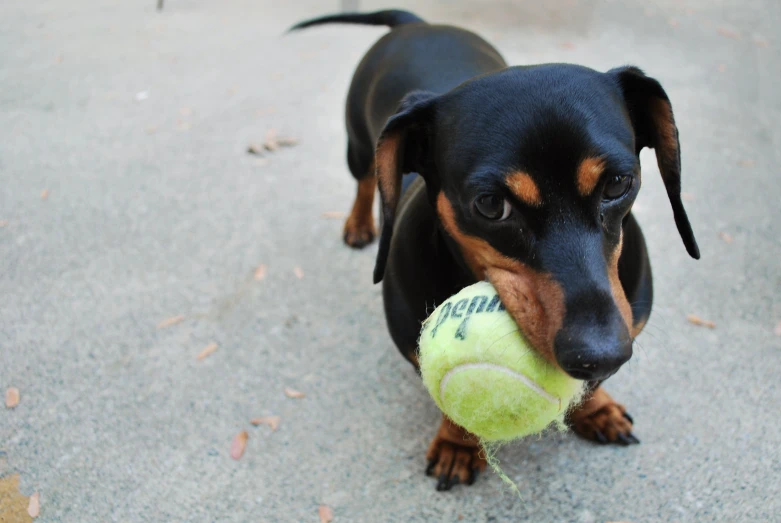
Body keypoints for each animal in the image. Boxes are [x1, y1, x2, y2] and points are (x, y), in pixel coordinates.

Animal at [290, 9, 696, 492]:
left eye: (618, 183)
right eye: (490, 205)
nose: (600, 353)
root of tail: (414, 23)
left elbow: (590, 390)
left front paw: (597, 410)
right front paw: (457, 444)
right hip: (357, 146)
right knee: (366, 180)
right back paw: (357, 223)